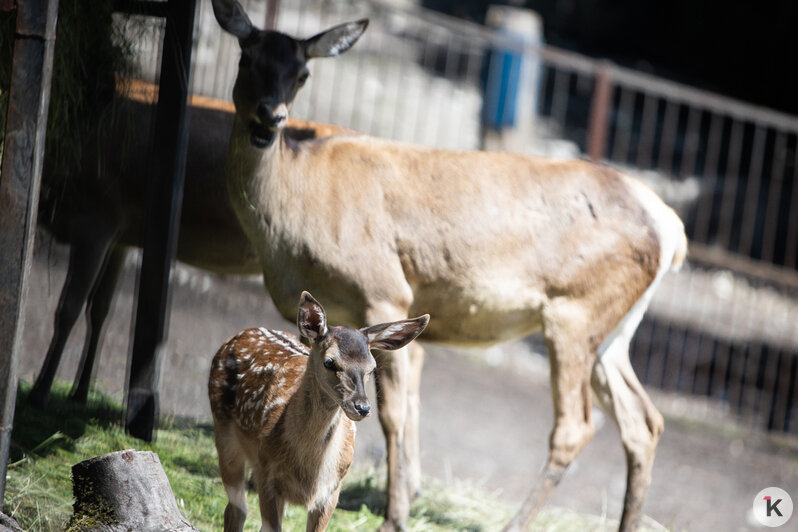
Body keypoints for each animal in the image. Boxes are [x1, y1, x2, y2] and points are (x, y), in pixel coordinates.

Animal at [211, 2, 688, 528]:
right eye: (247, 57)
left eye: (303, 73)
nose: (269, 116)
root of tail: (671, 229)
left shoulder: (386, 289)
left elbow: (396, 411)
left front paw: (396, 514)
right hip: (615, 330)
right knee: (643, 421)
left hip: (576, 312)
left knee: (576, 426)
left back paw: (514, 521)